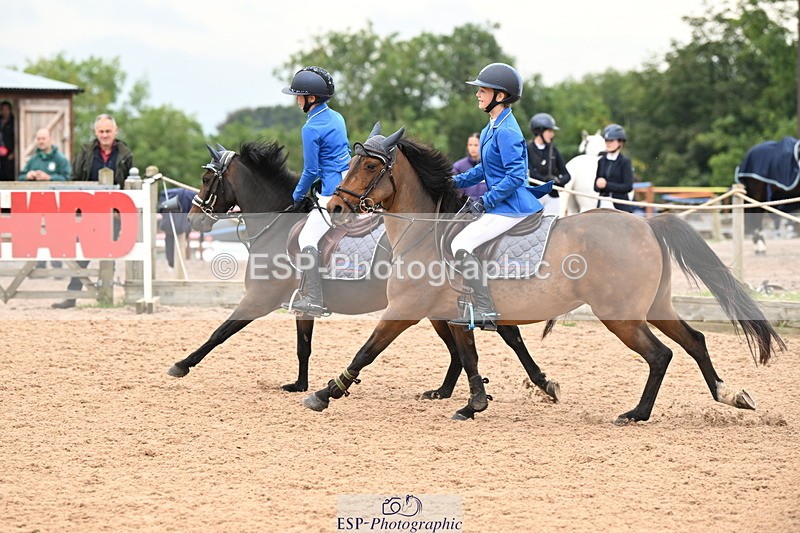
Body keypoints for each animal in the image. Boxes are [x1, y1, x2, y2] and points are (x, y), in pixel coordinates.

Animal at [166, 141, 561, 403]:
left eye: (207, 179)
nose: (194, 218)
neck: (279, 222)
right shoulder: (302, 304)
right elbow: (303, 346)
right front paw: (301, 385)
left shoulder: (260, 298)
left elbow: (220, 332)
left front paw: (182, 364)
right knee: (464, 346)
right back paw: (449, 391)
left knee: (498, 337)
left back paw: (533, 384)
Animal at [305, 126, 784, 423]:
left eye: (370, 166)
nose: (336, 206)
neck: (424, 232)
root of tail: (647, 224)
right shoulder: (458, 313)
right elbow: (470, 356)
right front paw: (474, 404)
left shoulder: (404, 310)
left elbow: (367, 351)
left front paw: (326, 393)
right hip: (656, 307)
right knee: (695, 341)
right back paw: (728, 394)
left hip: (622, 316)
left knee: (660, 355)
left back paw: (637, 414)